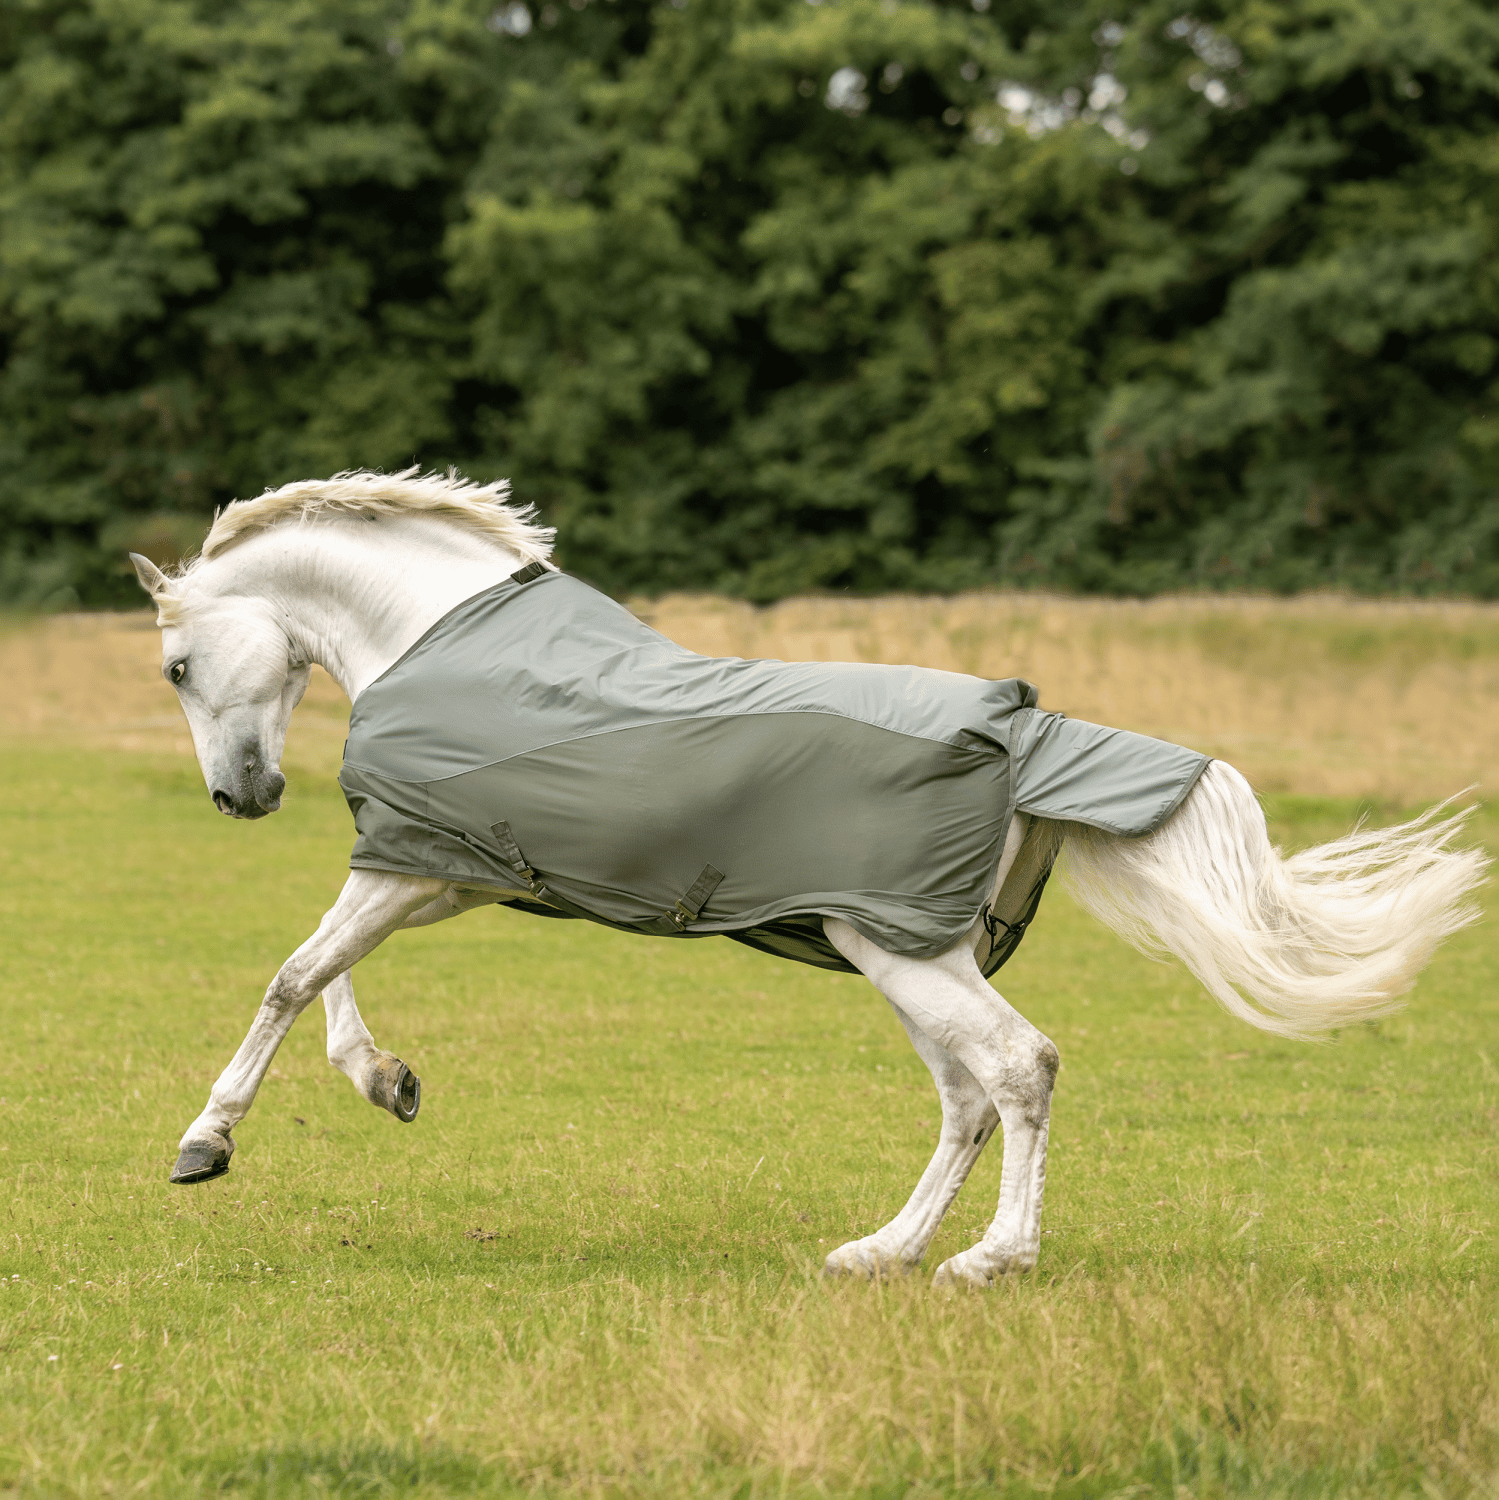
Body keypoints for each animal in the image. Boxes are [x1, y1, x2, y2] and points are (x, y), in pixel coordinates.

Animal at [132, 468, 1488, 1290]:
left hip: (901, 945)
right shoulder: (443, 865)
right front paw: (386, 1080)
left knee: (1017, 1068)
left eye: (178, 668)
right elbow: (327, 971)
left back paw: (989, 1260)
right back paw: (881, 1250)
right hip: (899, 949)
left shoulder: (418, 864)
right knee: (965, 1094)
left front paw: (205, 1143)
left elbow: (293, 970)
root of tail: (1021, 727)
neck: (441, 636)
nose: (240, 797)